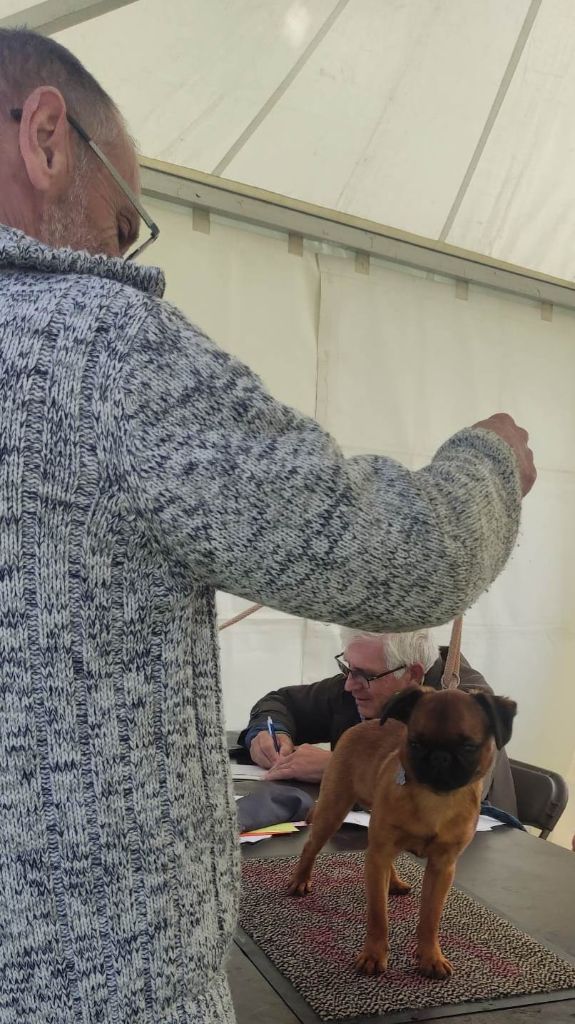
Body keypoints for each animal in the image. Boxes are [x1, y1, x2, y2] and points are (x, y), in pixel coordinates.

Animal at [287, 685, 516, 979]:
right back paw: (300, 880)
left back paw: (393, 882)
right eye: (415, 743)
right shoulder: (380, 855)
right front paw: (374, 954)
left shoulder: (441, 868)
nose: (439, 756)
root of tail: (360, 725)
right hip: (333, 809)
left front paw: (430, 956)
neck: (435, 800)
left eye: (468, 747)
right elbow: (378, 916)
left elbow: (430, 918)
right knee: (311, 846)